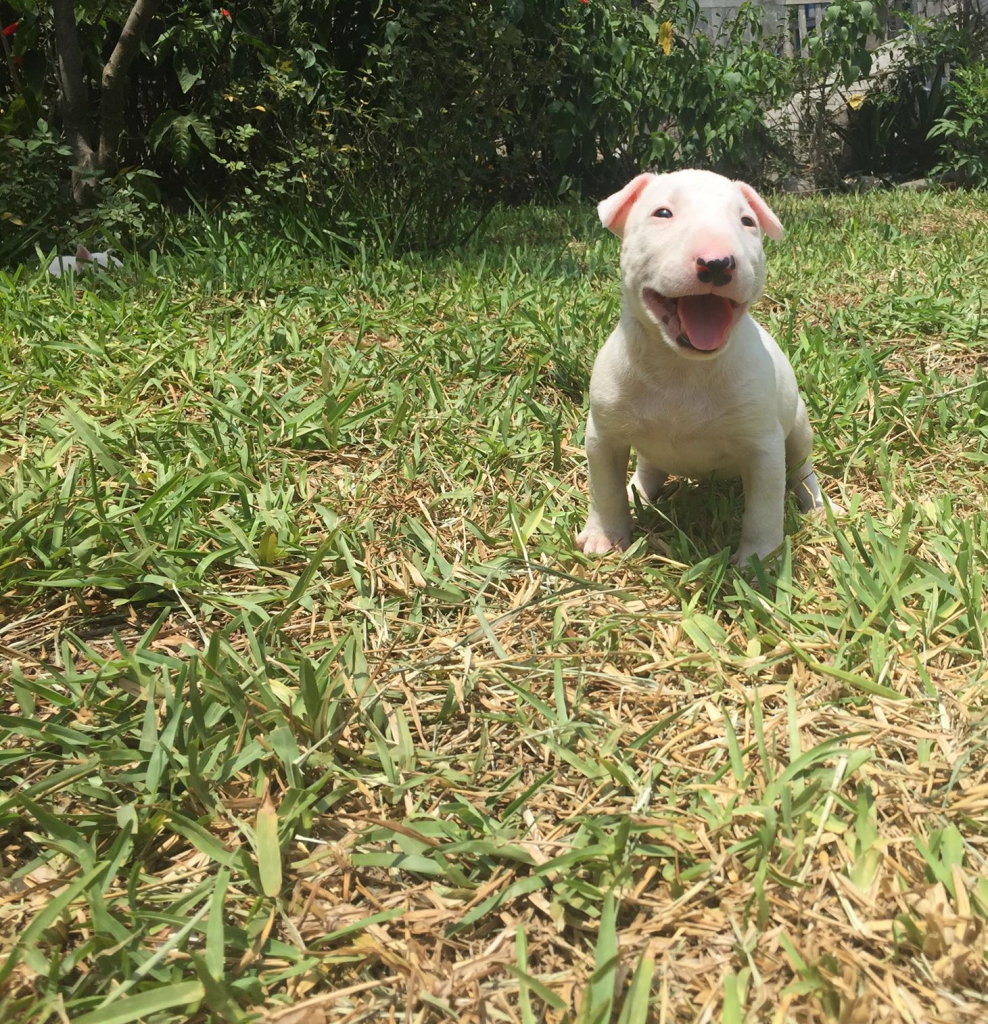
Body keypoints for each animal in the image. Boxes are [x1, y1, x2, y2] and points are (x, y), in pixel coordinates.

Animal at [573, 169, 835, 569]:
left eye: (747, 221)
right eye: (663, 213)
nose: (717, 263)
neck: (682, 367)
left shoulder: (763, 446)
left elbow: (763, 508)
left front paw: (759, 559)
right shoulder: (603, 435)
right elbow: (604, 489)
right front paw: (605, 535)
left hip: (799, 428)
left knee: (802, 471)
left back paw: (818, 506)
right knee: (648, 469)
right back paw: (637, 492)